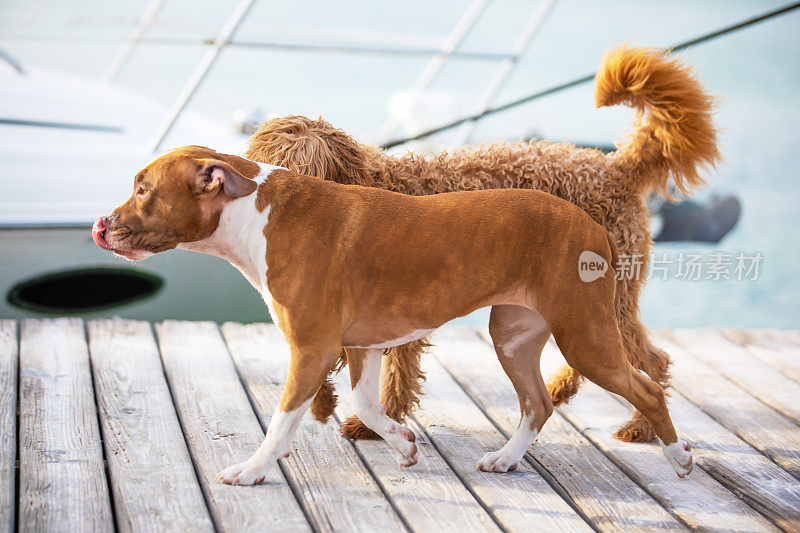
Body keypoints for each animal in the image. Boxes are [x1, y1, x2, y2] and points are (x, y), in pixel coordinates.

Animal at [94, 144, 692, 482]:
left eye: (143, 189)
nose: (100, 224)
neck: (253, 215)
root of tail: (593, 225)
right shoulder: (362, 344)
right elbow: (366, 402)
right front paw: (403, 444)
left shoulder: (312, 349)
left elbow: (282, 419)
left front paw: (252, 470)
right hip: (514, 335)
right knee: (537, 403)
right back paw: (505, 459)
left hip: (585, 335)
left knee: (645, 387)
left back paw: (678, 457)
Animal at [244, 47, 720, 442]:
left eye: (300, 170)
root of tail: (616, 167)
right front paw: (326, 403)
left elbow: (396, 373)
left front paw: (374, 420)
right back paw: (559, 390)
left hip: (603, 295)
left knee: (652, 363)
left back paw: (642, 425)